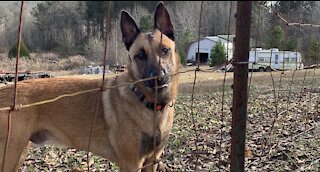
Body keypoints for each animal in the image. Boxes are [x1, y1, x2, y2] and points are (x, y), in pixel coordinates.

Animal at [0, 1, 180, 172]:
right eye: (140, 55)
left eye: (164, 50)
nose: (159, 78)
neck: (149, 103)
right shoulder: (131, 163)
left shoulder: (151, 160)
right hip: (11, 155)